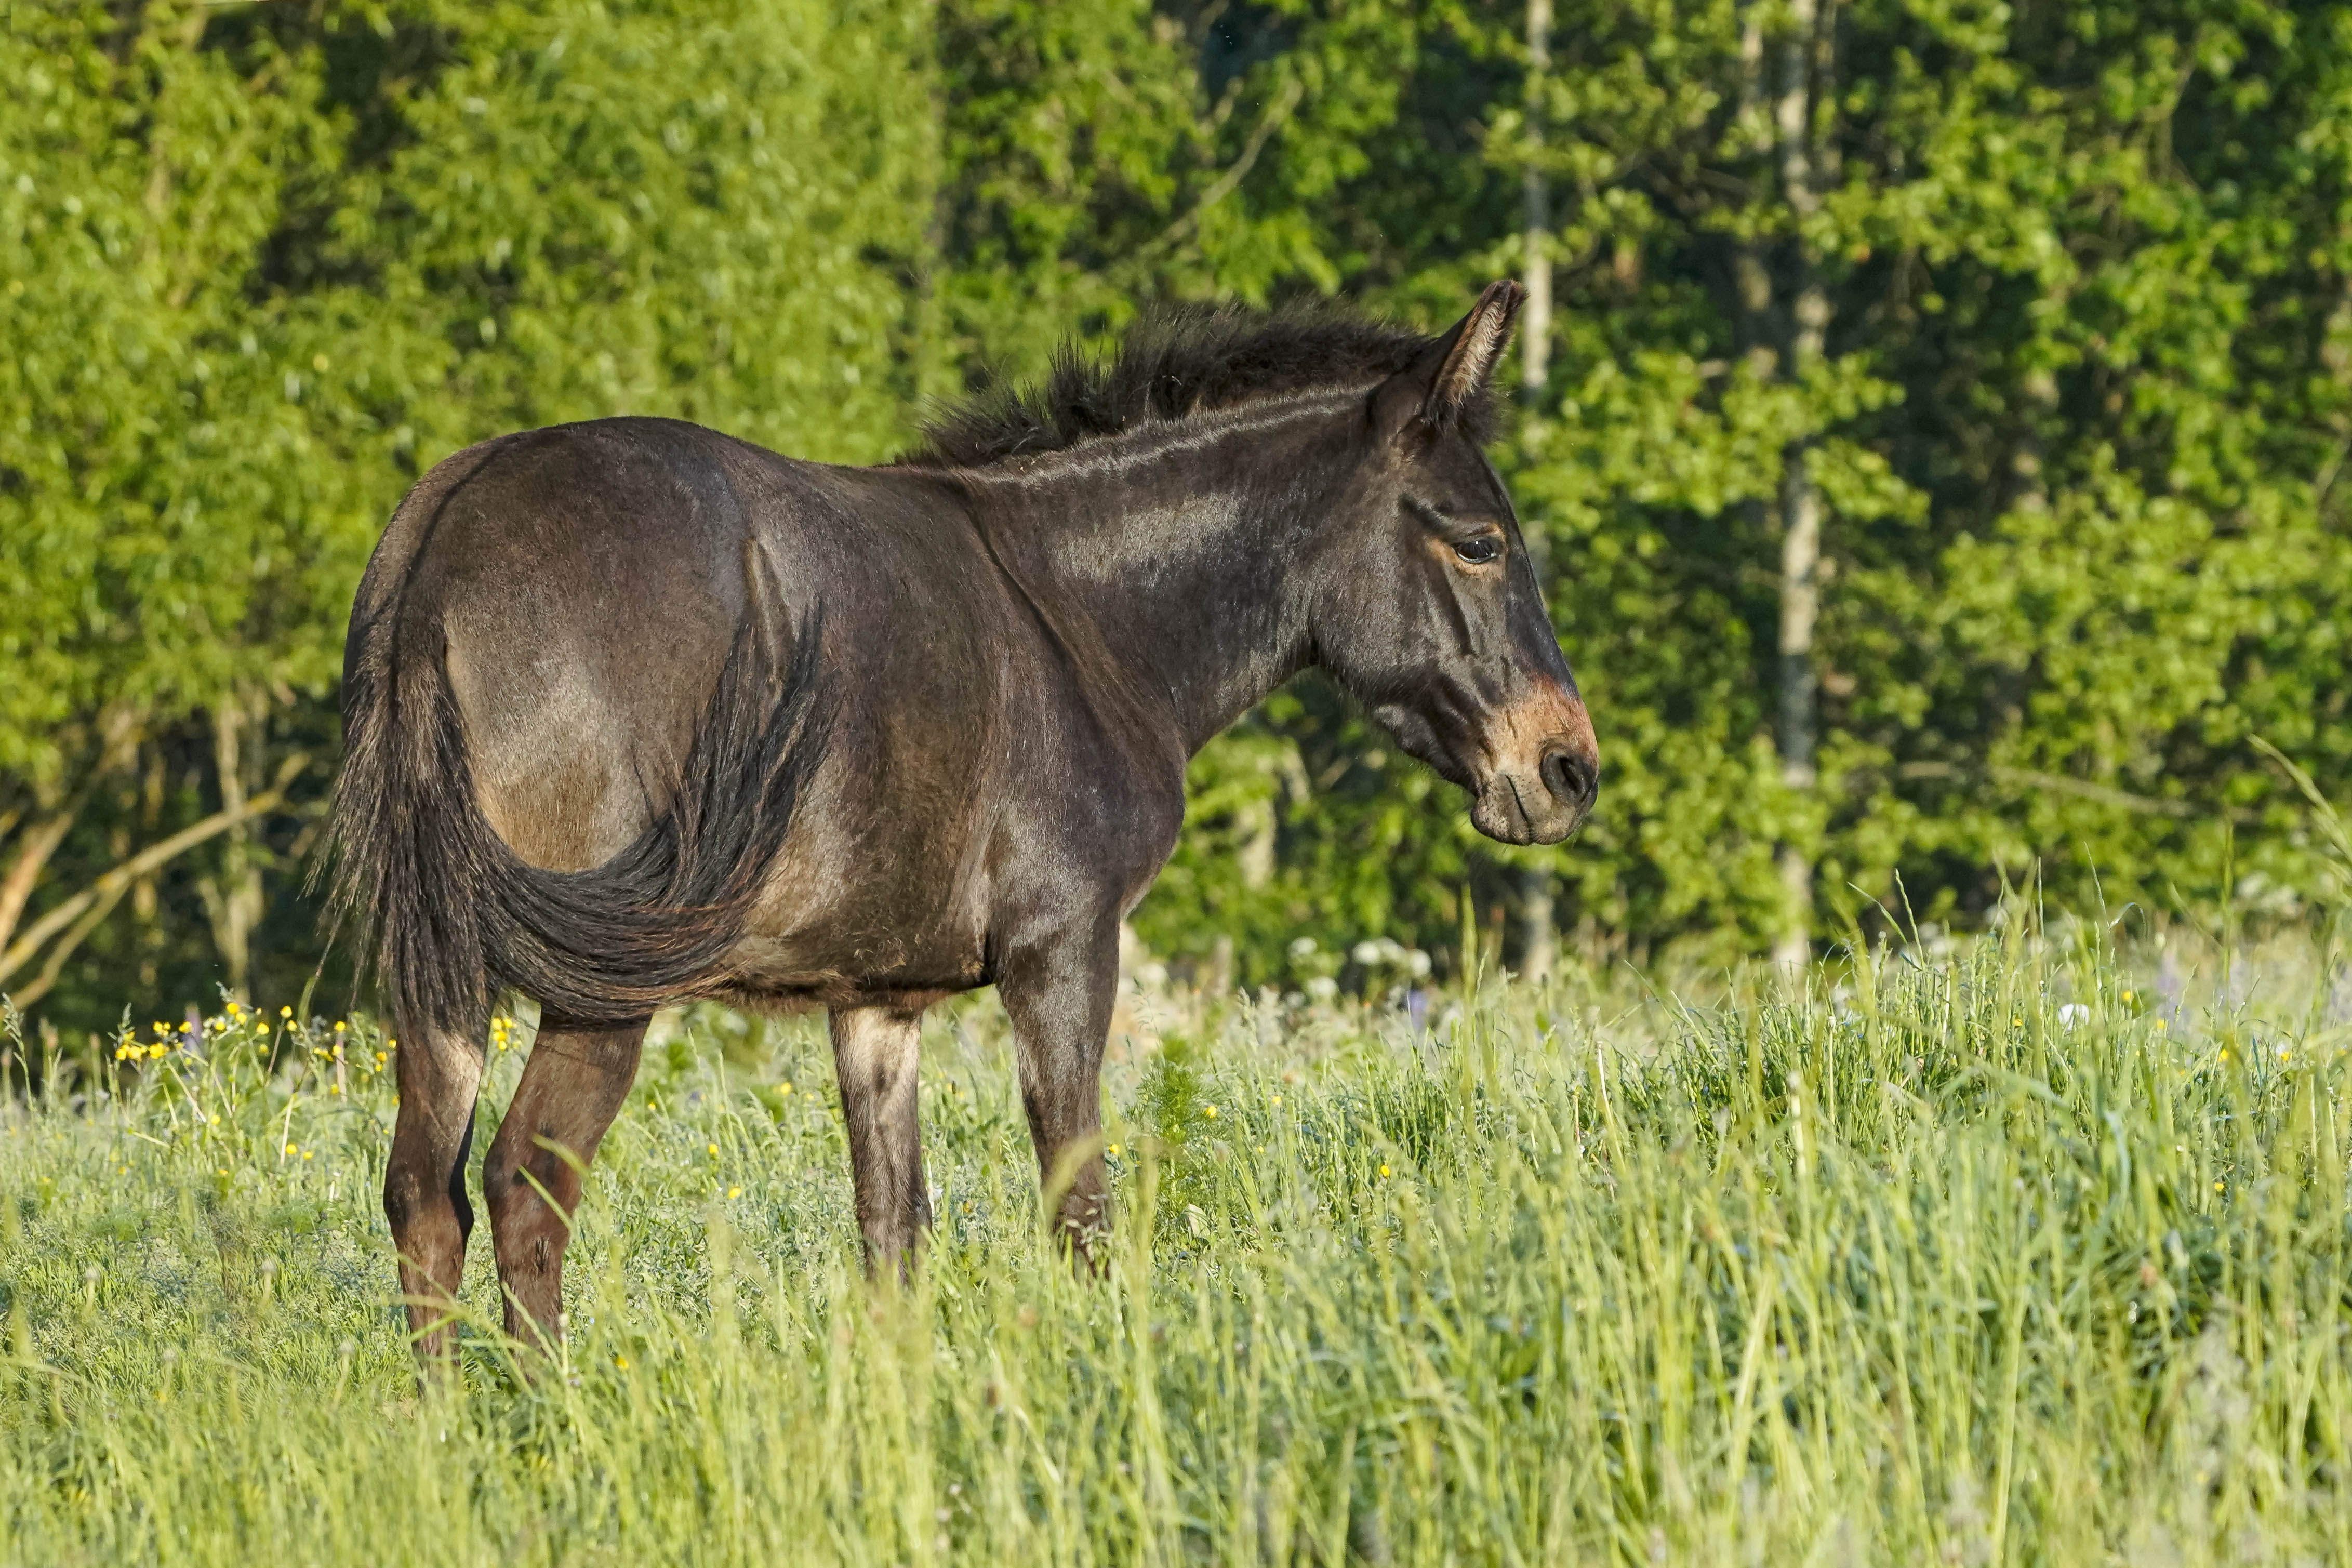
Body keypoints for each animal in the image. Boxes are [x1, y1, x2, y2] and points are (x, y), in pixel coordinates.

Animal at [327, 280, 1599, 1362]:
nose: (1567, 769)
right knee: (522, 1189)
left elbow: (893, 1236)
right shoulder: (1064, 951)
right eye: (1479, 541)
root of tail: (445, 547)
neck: (1081, 619)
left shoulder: (875, 1003)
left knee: (424, 1198)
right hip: (604, 987)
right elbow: (1078, 1204)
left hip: (439, 974)